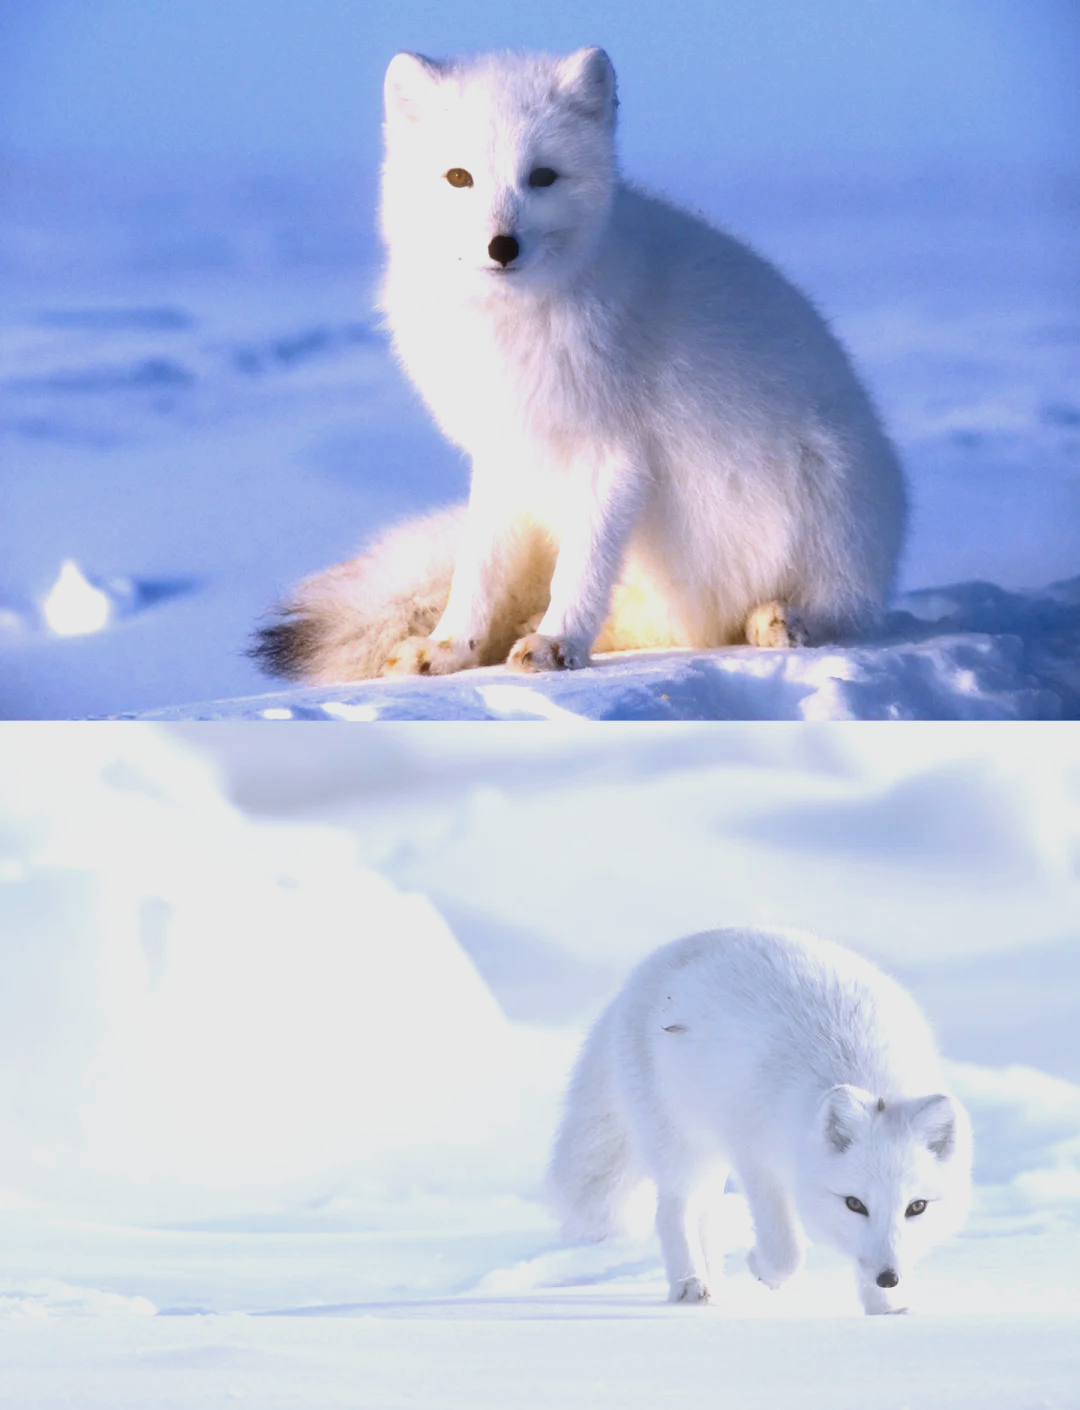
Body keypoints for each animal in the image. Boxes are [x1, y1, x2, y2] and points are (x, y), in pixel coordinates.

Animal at [258, 45, 907, 682]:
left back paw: (778, 619)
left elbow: (583, 567)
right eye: (459, 178)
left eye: (542, 177)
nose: (502, 247)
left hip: (828, 495)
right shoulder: (506, 453)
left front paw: (557, 644)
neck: (512, 327)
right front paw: (450, 649)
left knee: (836, 611)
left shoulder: (614, 454)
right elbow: (479, 569)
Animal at [549, 930, 970, 1314]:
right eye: (855, 1204)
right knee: (673, 1211)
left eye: (916, 1207)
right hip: (682, 1146)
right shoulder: (755, 1157)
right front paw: (761, 1268)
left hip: (710, 1155)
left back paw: (713, 1277)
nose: (889, 1277)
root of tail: (642, 971)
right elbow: (788, 1250)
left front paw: (886, 1311)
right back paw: (691, 1284)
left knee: (704, 1213)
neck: (866, 1071)